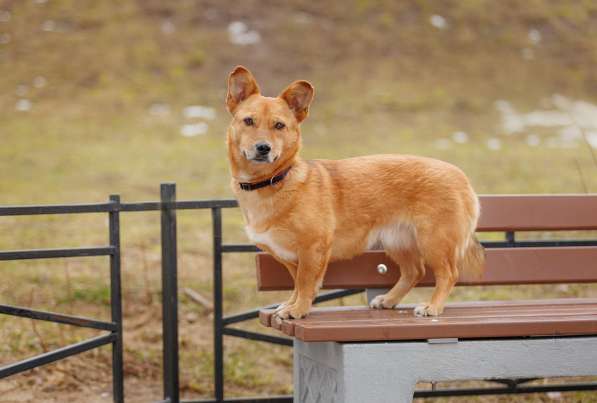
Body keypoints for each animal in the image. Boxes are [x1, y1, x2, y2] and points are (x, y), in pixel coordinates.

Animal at [225, 65, 484, 318]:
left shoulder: (313, 249)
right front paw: (291, 304)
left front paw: (298, 310)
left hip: (434, 241)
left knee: (448, 274)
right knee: (415, 272)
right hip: (397, 241)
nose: (263, 148)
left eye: (279, 125)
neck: (273, 181)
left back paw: (433, 306)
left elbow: (305, 283)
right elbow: (297, 284)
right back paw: (389, 300)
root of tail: (461, 176)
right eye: (248, 121)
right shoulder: (291, 258)